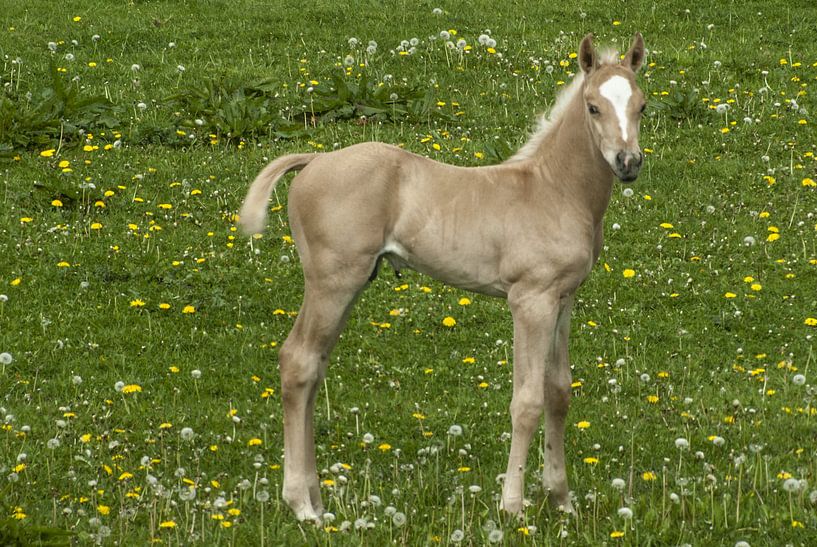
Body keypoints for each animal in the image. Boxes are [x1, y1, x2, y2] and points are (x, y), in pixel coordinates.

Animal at [239, 33, 646, 521]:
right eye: (593, 107)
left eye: (642, 106)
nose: (628, 162)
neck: (553, 190)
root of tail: (314, 160)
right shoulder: (531, 301)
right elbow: (527, 400)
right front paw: (513, 507)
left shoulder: (563, 299)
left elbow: (559, 392)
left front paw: (562, 501)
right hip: (332, 283)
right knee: (298, 362)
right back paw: (301, 504)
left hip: (348, 285)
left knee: (314, 367)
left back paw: (317, 497)